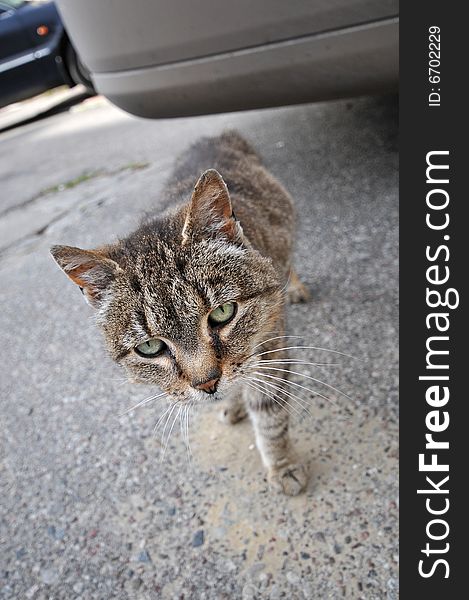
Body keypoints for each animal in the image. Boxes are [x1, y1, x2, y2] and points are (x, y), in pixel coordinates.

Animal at [51, 134, 308, 494]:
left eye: (223, 313)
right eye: (150, 348)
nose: (207, 383)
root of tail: (216, 137)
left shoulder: (271, 346)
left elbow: (270, 414)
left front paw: (282, 466)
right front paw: (232, 404)